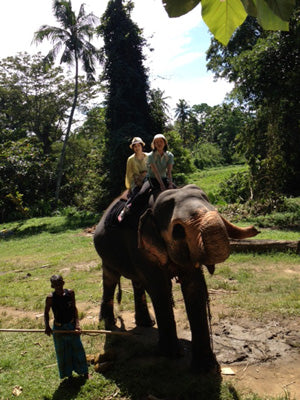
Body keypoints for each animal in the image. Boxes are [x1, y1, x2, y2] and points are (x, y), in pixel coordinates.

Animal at [92, 184, 258, 372]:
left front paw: (205, 367)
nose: (256, 227)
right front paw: (171, 354)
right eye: (178, 231)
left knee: (137, 282)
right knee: (110, 278)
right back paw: (108, 322)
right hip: (106, 253)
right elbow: (160, 288)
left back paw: (146, 323)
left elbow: (194, 287)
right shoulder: (138, 244)